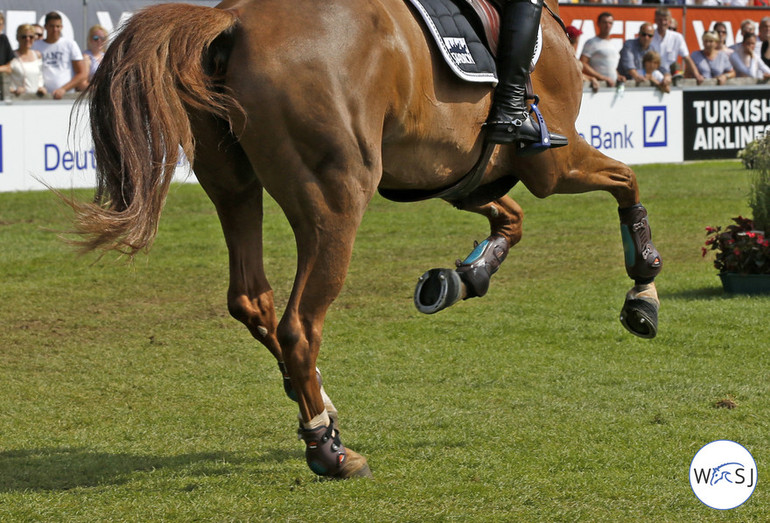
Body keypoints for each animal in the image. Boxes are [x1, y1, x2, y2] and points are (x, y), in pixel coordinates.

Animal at [73, 0, 660, 478]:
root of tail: (234, 19)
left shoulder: (455, 173)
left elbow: (510, 221)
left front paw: (464, 277)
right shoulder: (553, 165)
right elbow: (627, 180)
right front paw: (644, 289)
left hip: (233, 186)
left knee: (251, 299)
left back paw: (316, 397)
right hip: (335, 201)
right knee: (299, 324)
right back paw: (327, 447)